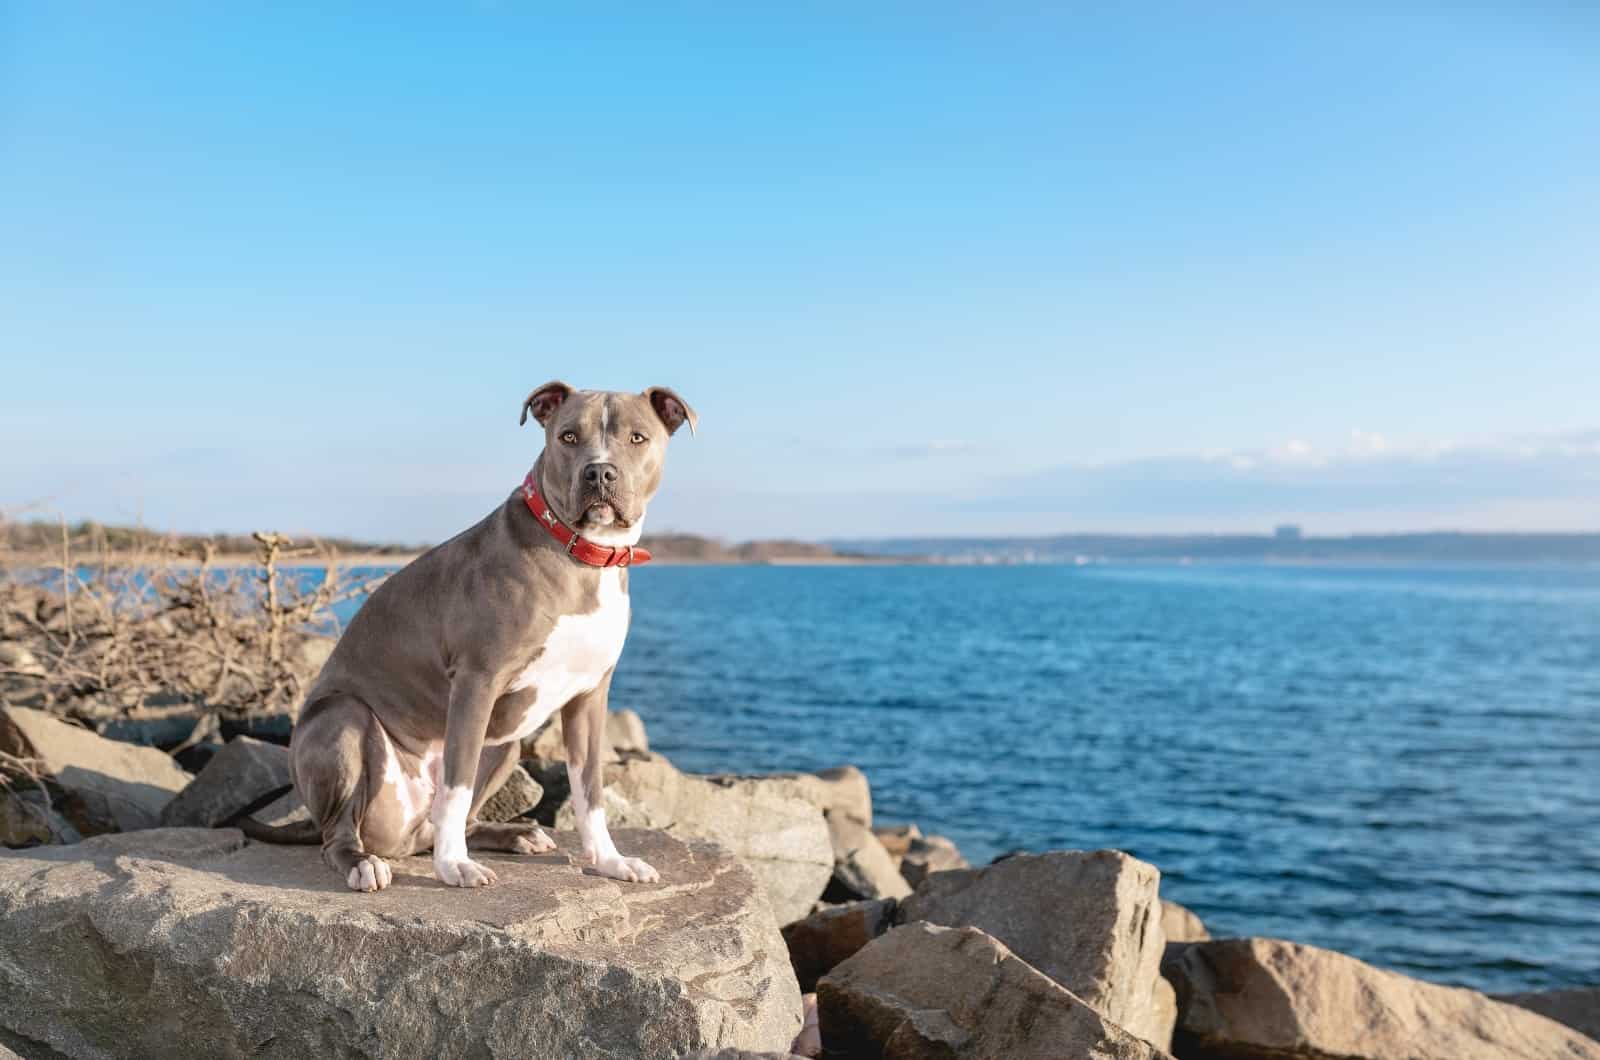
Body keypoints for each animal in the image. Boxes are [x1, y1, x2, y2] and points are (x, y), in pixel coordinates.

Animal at [248, 382, 694, 890]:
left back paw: (515, 834)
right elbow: (456, 786)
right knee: (342, 832)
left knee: (453, 816)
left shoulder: (589, 697)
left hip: (506, 745)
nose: (599, 471)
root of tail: (401, 836)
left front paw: (609, 860)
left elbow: (590, 789)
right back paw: (364, 863)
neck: (581, 557)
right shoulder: (476, 682)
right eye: (568, 436)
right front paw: (453, 866)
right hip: (343, 720)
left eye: (637, 438)